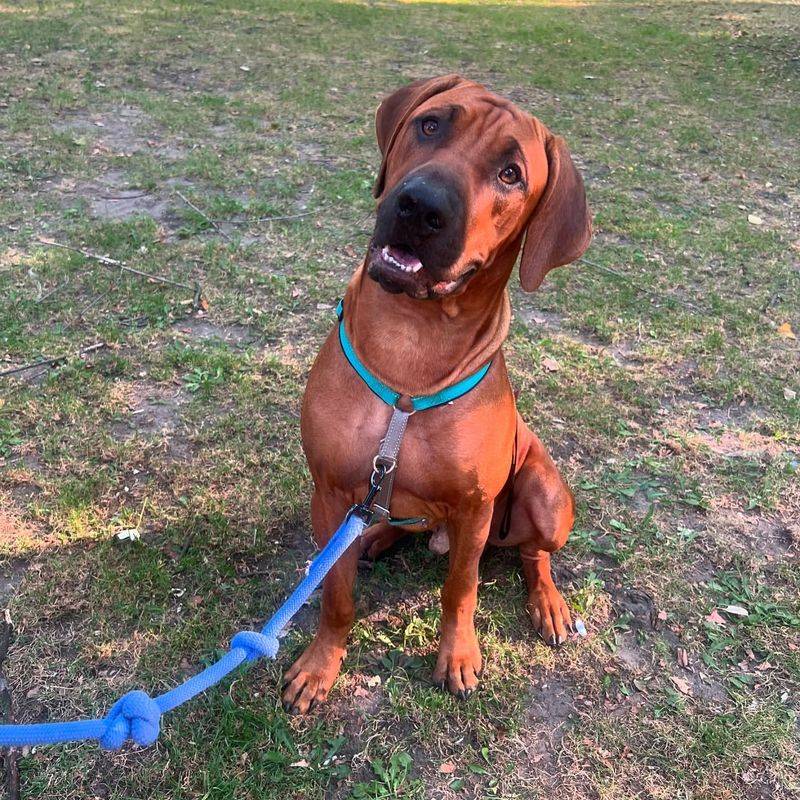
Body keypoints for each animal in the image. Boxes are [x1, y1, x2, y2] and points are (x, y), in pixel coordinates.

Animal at [280, 73, 588, 712]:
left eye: (511, 174)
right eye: (430, 124)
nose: (421, 206)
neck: (411, 349)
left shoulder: (474, 509)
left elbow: (460, 591)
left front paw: (458, 655)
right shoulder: (329, 490)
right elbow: (336, 595)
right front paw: (321, 665)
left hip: (544, 493)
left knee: (534, 553)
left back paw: (547, 602)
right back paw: (375, 536)